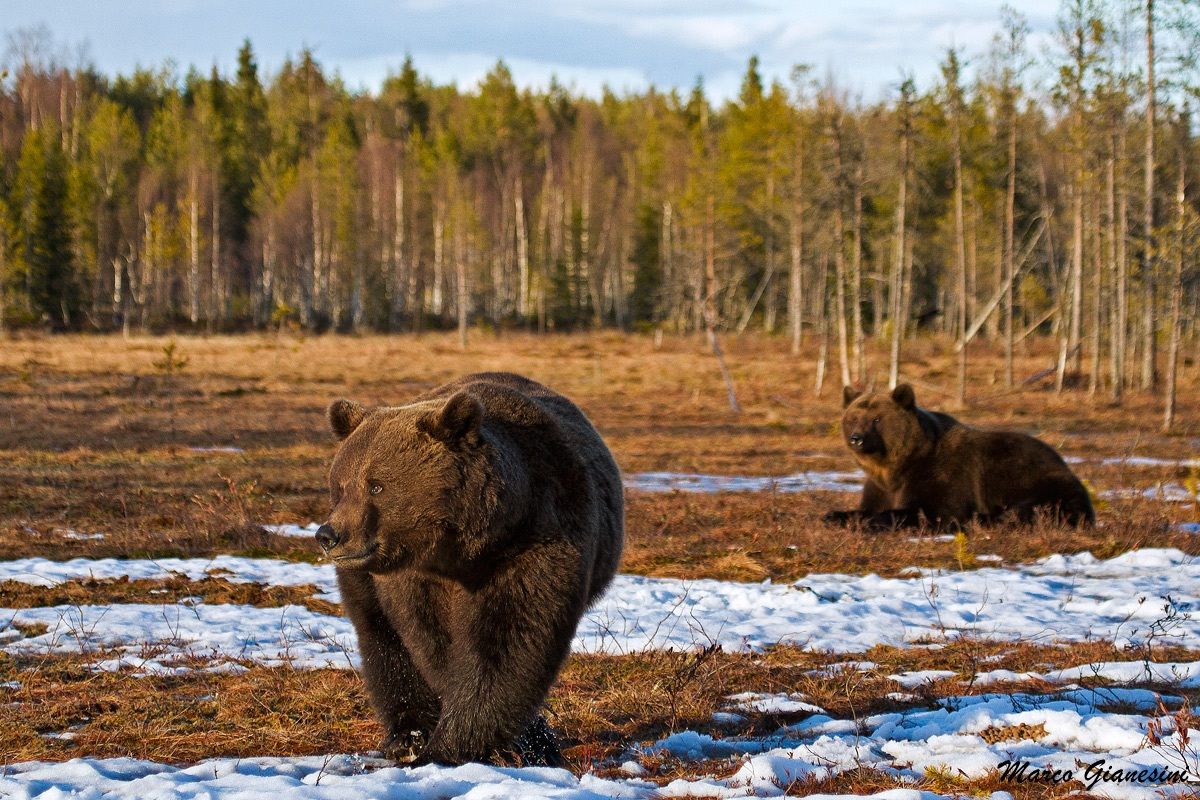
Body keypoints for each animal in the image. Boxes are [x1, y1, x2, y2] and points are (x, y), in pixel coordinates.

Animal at [316, 371, 624, 767]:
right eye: (340, 486)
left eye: (377, 485)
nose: (329, 535)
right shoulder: (412, 577)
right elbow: (431, 640)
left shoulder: (533, 543)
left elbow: (504, 642)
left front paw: (460, 744)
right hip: (362, 578)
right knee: (380, 634)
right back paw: (408, 734)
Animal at [822, 383, 1094, 530]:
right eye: (853, 418)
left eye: (877, 419)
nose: (856, 438)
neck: (896, 466)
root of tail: (1065, 463)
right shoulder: (880, 486)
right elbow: (868, 506)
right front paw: (834, 515)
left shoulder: (941, 475)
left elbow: (932, 509)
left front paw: (871, 521)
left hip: (1039, 480)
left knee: (1027, 509)